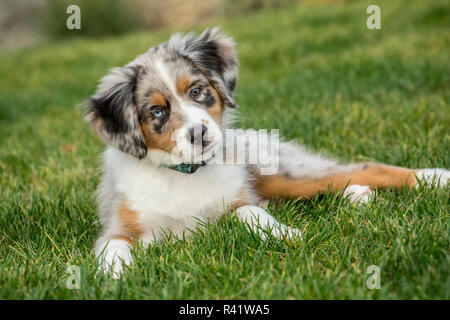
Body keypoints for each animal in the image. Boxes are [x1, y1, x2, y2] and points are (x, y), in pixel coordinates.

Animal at [85, 28, 450, 278]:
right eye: (157, 112)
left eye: (197, 91)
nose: (199, 134)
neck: (185, 174)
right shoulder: (118, 226)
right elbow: (114, 246)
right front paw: (115, 276)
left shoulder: (239, 200)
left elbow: (251, 212)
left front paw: (287, 235)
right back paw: (357, 196)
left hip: (282, 172)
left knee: (358, 168)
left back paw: (433, 178)